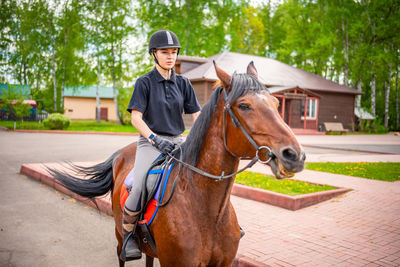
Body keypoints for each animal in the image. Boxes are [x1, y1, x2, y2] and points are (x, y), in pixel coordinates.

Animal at [51, 61, 304, 266]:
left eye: (276, 103)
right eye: (244, 105)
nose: (294, 155)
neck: (206, 209)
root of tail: (121, 154)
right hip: (119, 235)